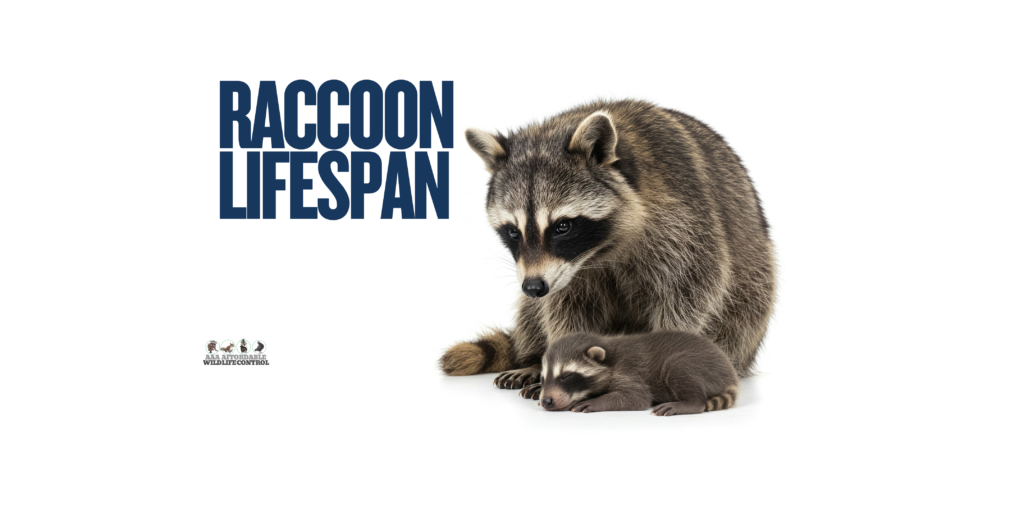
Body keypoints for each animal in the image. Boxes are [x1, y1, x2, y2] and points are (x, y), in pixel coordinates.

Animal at [439, 99, 776, 396]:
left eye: (562, 226)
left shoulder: (684, 220)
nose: (533, 286)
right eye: (512, 231)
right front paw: (554, 360)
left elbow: (691, 290)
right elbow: (563, 307)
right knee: (531, 311)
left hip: (753, 292)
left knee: (745, 308)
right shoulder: (564, 273)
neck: (600, 250)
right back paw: (533, 358)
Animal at [539, 331, 739, 415]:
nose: (546, 400)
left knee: (678, 366)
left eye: (566, 376)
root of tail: (730, 373)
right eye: (542, 379)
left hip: (701, 367)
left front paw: (594, 401)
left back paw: (690, 403)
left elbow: (636, 398)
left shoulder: (629, 370)